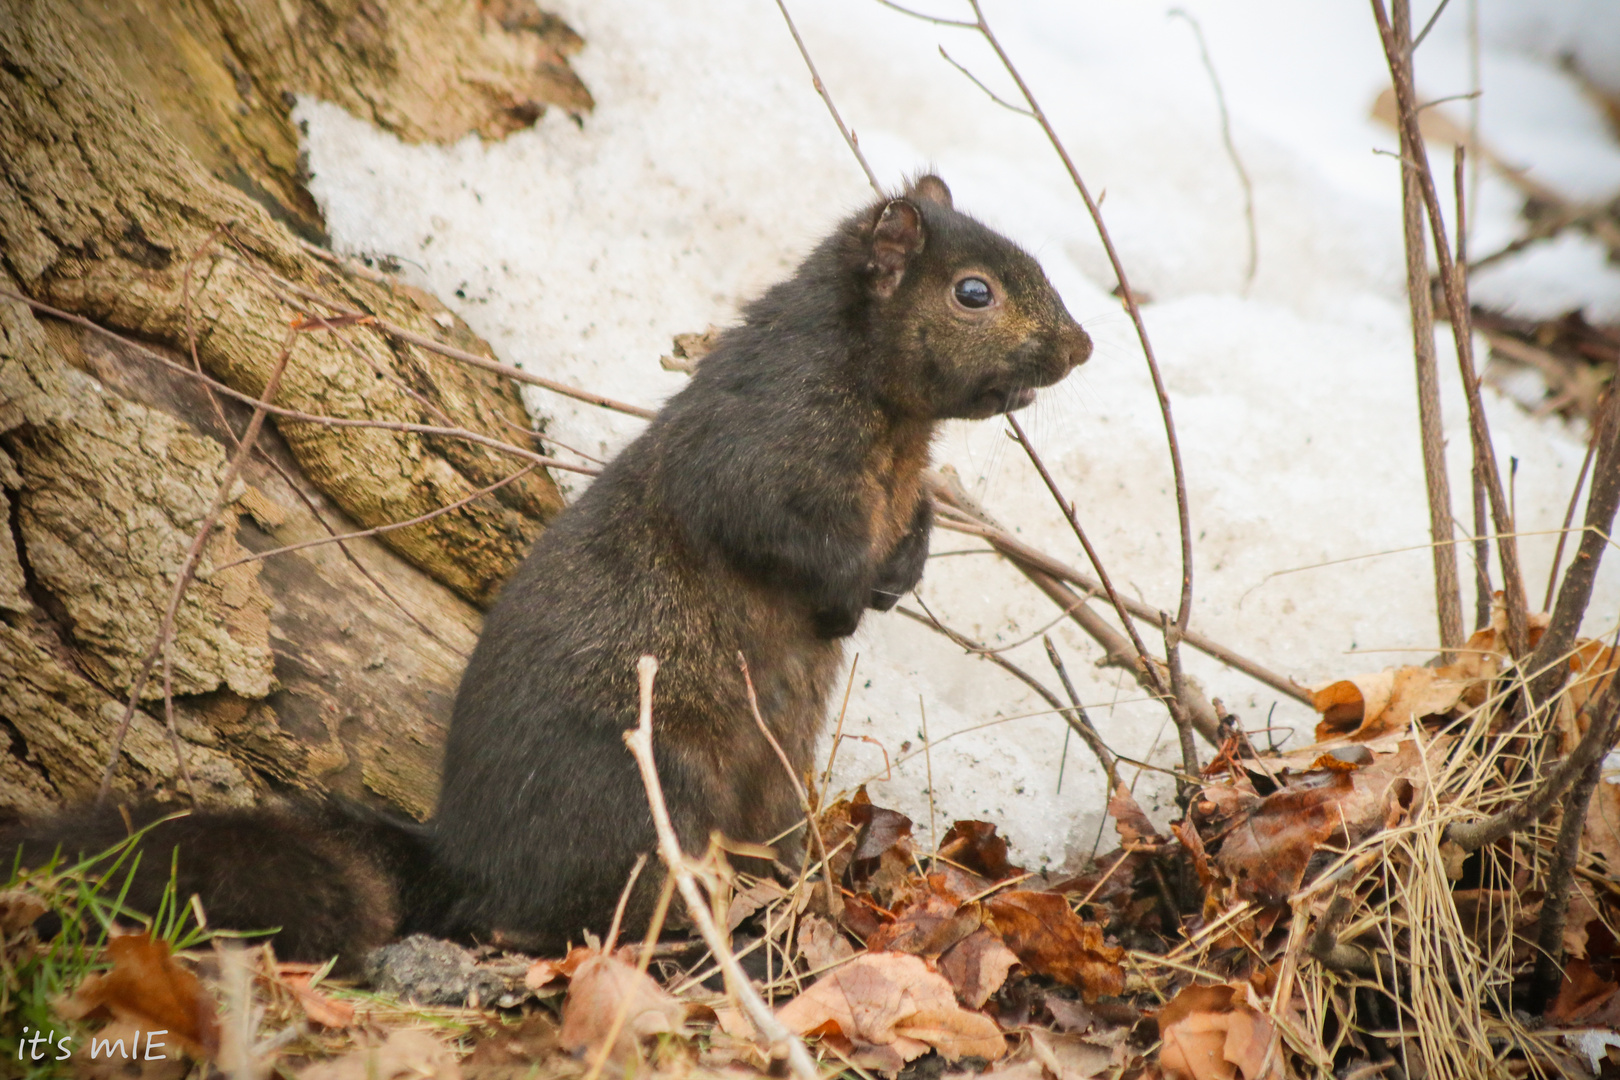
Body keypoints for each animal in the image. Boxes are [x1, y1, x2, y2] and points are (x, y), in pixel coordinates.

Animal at [6, 177, 1095, 971]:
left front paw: (895, 577)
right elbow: (778, 534)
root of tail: (467, 864)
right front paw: (846, 593)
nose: (1082, 345)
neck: (893, 422)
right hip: (646, 788)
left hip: (769, 783)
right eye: (972, 292)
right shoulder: (762, 447)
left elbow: (906, 544)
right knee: (567, 913)